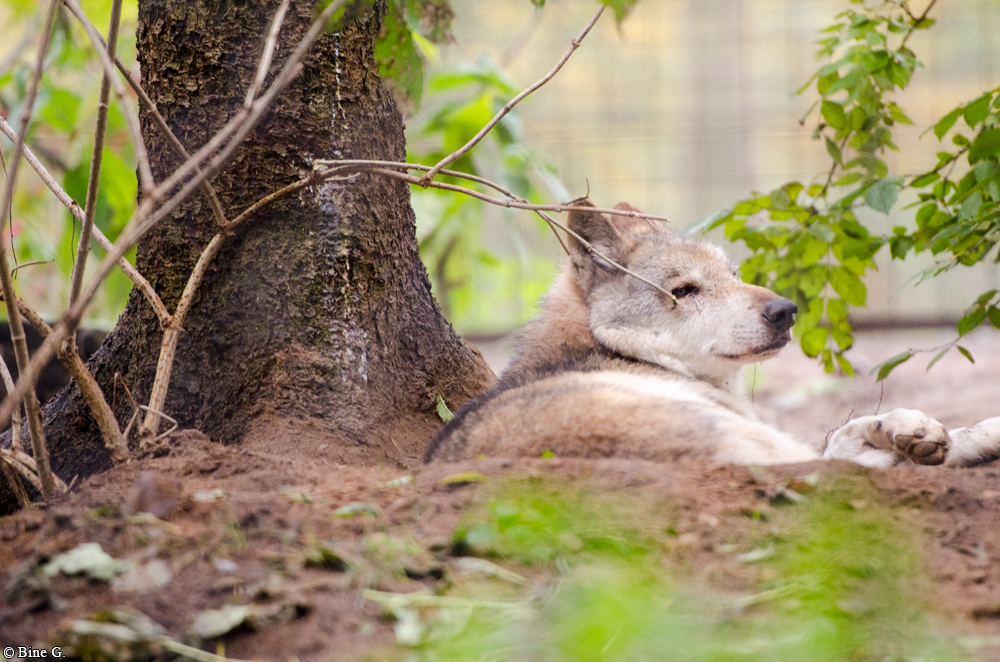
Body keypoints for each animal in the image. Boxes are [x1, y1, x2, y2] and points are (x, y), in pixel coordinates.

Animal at [426, 200, 1000, 470]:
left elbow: (848, 428)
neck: (611, 350)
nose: (786, 310)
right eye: (684, 291)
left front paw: (913, 430)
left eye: (733, 273)